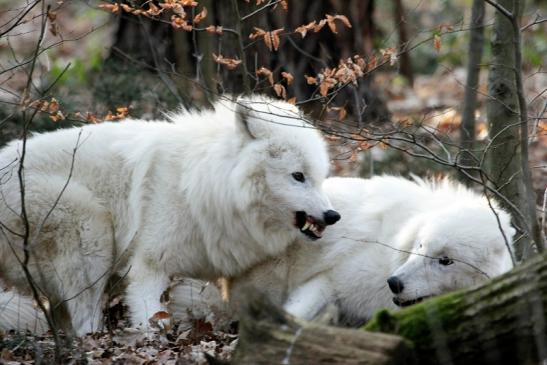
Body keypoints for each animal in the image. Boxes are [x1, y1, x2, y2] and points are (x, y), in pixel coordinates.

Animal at [0, 95, 338, 334]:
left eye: (320, 176)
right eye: (298, 176)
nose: (333, 215)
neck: (204, 185)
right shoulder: (150, 266)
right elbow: (152, 321)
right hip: (91, 234)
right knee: (85, 325)